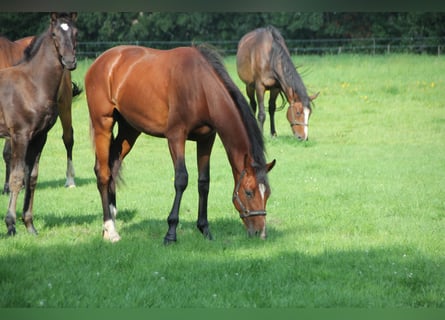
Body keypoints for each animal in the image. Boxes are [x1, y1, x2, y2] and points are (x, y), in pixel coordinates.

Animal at [84, 42, 274, 242]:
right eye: (248, 192)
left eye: (267, 193)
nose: (261, 233)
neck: (200, 87)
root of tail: (102, 60)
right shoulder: (176, 137)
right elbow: (181, 179)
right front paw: (171, 232)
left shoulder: (206, 139)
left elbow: (204, 182)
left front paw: (205, 229)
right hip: (103, 124)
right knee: (103, 173)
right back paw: (110, 228)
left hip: (130, 130)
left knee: (113, 164)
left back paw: (110, 221)